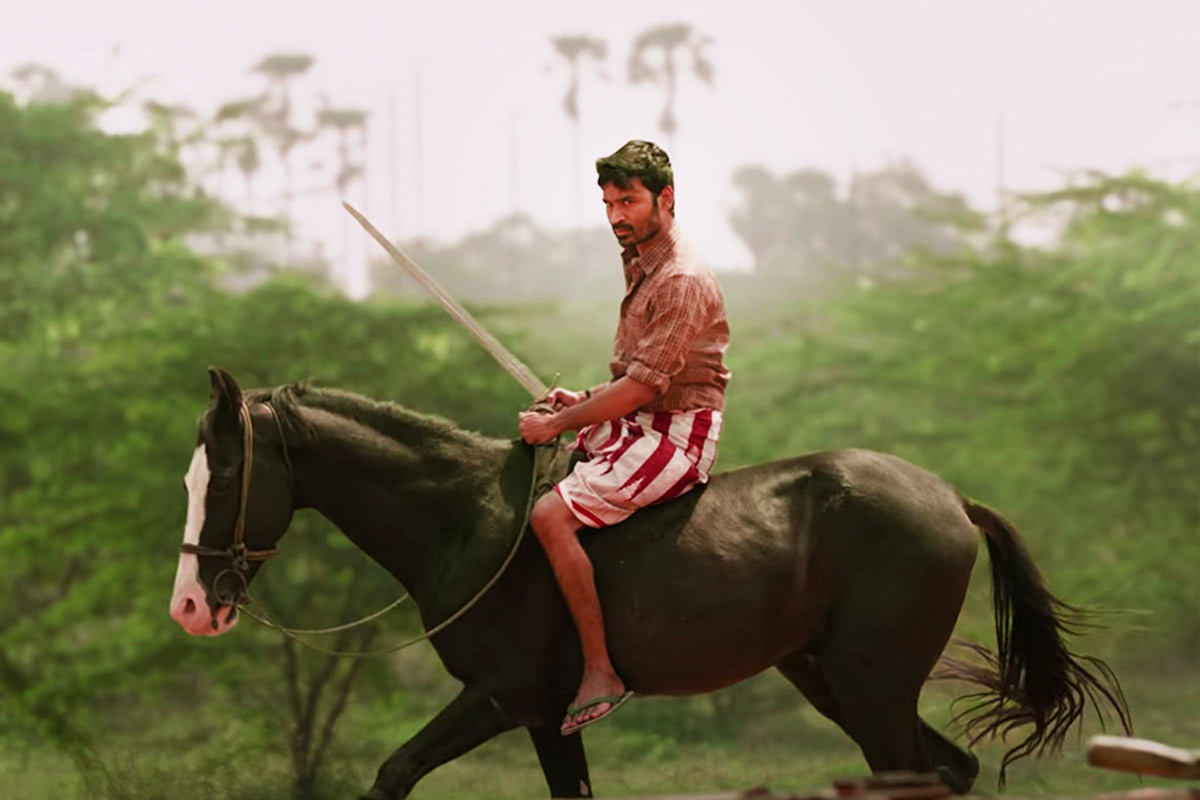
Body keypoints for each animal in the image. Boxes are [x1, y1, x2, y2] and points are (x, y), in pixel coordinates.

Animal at [171, 371, 1132, 800]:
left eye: (225, 475)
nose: (189, 605)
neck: (465, 519)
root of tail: (951, 499)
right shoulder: (537, 717)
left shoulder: (509, 697)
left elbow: (395, 771)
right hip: (836, 683)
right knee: (948, 772)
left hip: (872, 687)